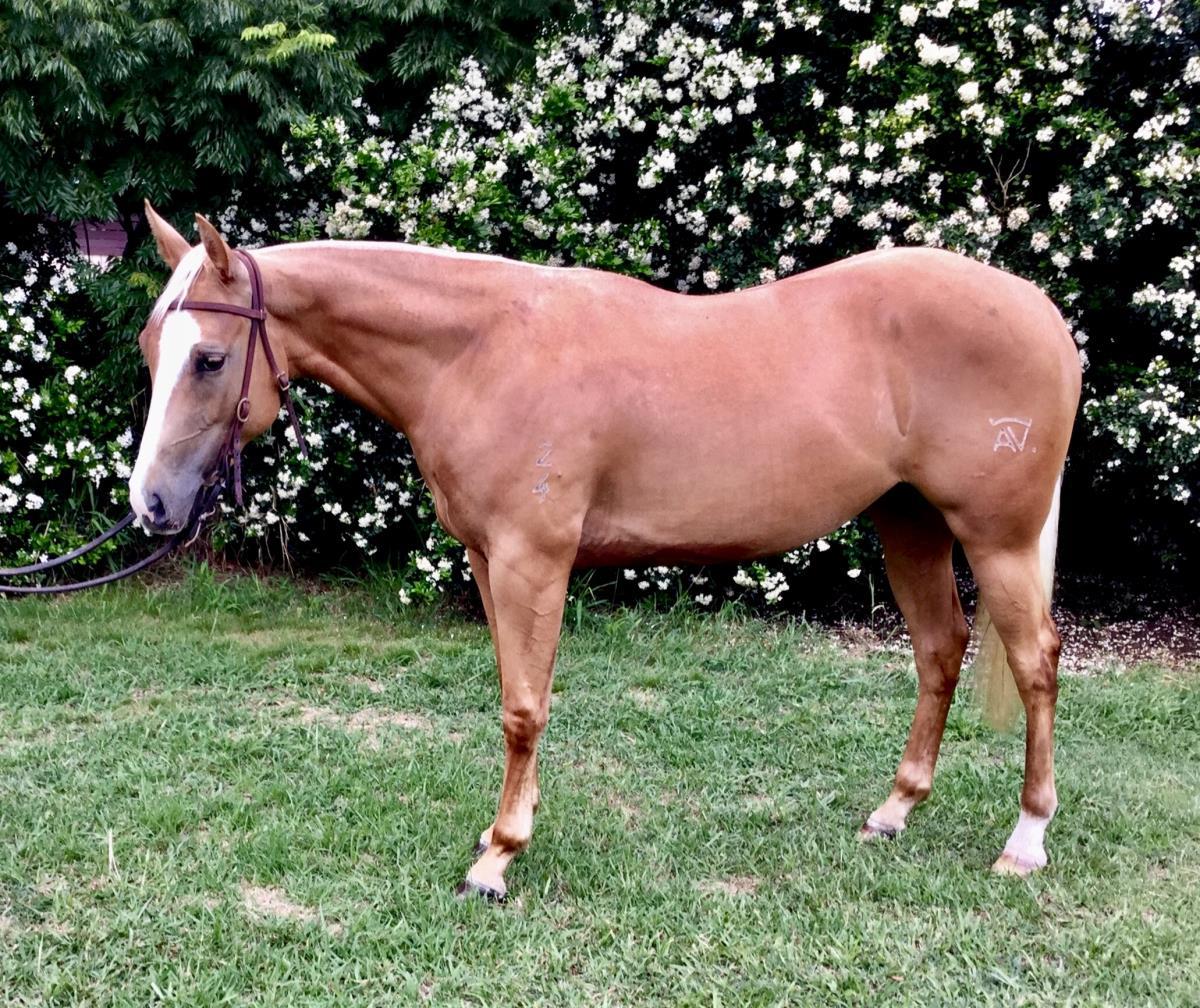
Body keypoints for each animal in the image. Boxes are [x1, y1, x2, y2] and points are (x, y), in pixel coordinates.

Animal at [131, 203, 1081, 900]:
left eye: (208, 358)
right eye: (151, 351)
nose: (151, 502)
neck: (481, 350)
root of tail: (1042, 313)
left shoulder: (532, 560)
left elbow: (524, 708)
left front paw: (499, 858)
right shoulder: (490, 561)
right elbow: (517, 693)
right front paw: (507, 829)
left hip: (995, 538)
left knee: (1035, 661)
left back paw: (1027, 840)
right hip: (909, 521)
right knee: (940, 650)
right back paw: (894, 811)